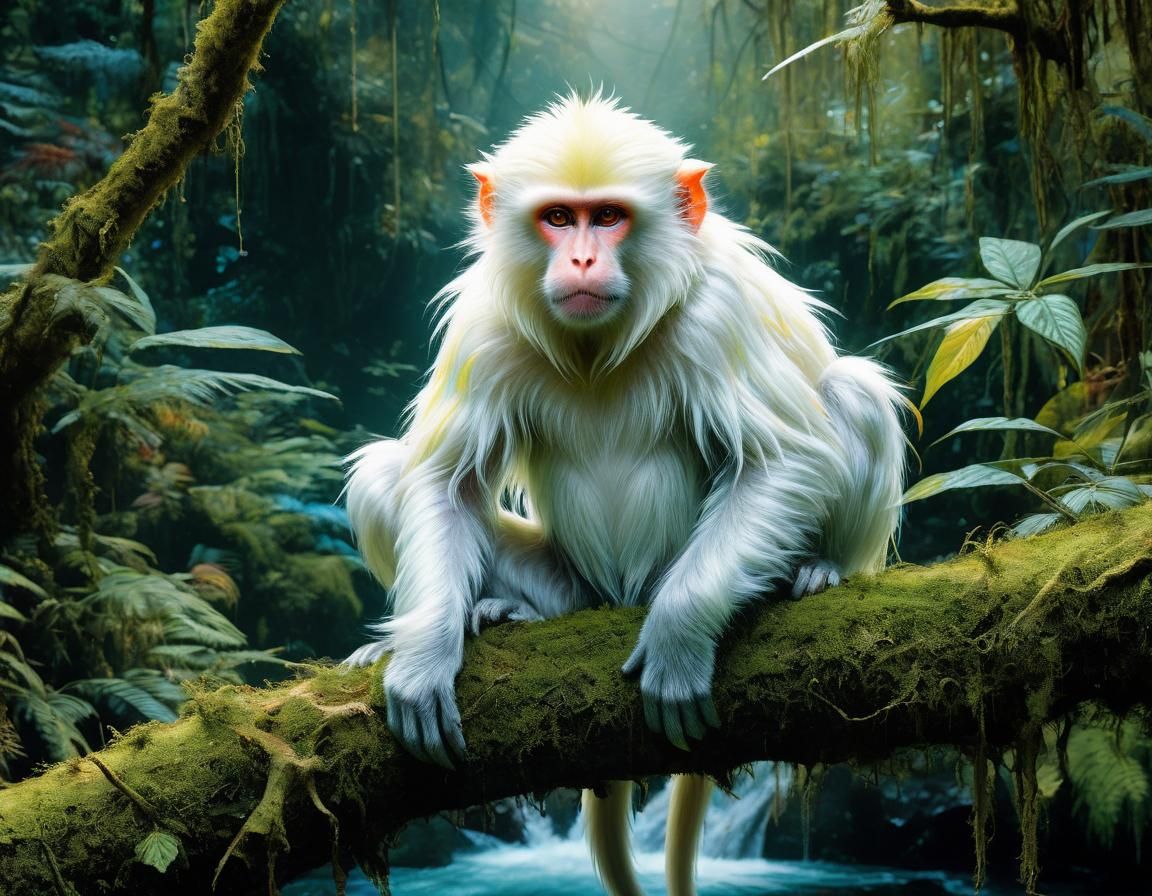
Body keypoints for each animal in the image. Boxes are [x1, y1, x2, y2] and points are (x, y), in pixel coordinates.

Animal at [344, 93, 905, 896]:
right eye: (558, 218)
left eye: (608, 217)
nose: (581, 259)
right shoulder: (484, 321)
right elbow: (441, 483)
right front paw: (422, 659)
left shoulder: (716, 312)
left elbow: (782, 460)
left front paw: (679, 635)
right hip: (578, 585)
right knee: (386, 474)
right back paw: (509, 611)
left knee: (849, 390)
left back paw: (814, 569)